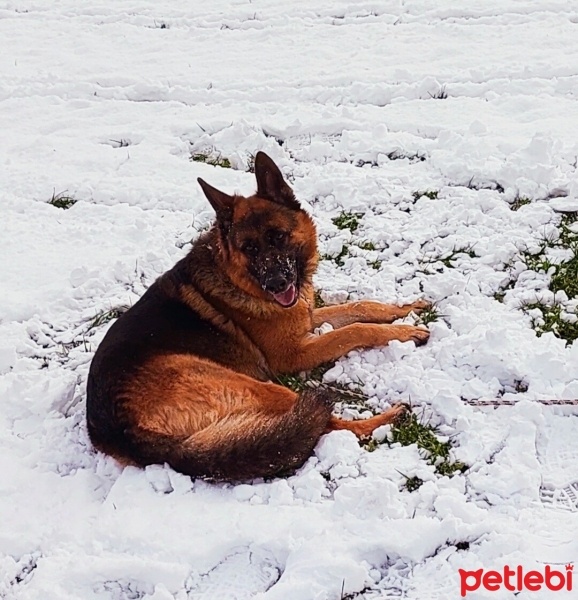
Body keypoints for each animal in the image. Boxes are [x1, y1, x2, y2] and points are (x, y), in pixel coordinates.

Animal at [85, 152, 428, 480]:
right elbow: (355, 331)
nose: (276, 283)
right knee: (326, 426)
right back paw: (384, 420)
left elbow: (360, 308)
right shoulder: (292, 354)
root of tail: (122, 432)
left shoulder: (306, 317)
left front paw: (404, 310)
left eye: (278, 237)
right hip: (265, 387)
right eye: (249, 248)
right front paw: (404, 333)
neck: (238, 278)